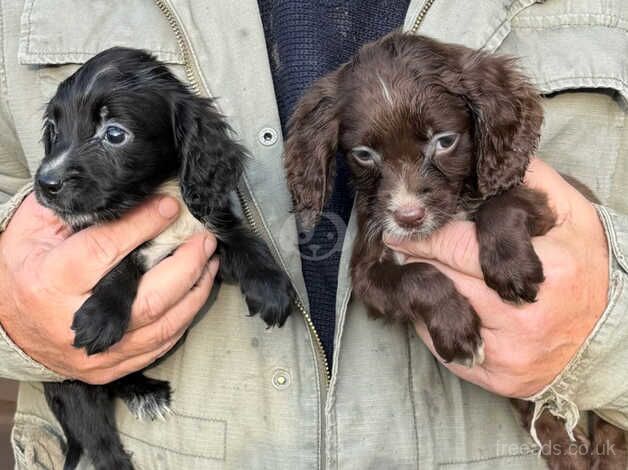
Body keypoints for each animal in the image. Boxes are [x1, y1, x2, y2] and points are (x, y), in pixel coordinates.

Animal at [36, 47, 294, 470]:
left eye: (115, 134)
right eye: (54, 130)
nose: (46, 183)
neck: (160, 196)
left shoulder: (208, 235)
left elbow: (244, 241)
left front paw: (272, 287)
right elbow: (119, 263)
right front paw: (101, 316)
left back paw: (144, 391)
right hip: (76, 387)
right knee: (102, 447)